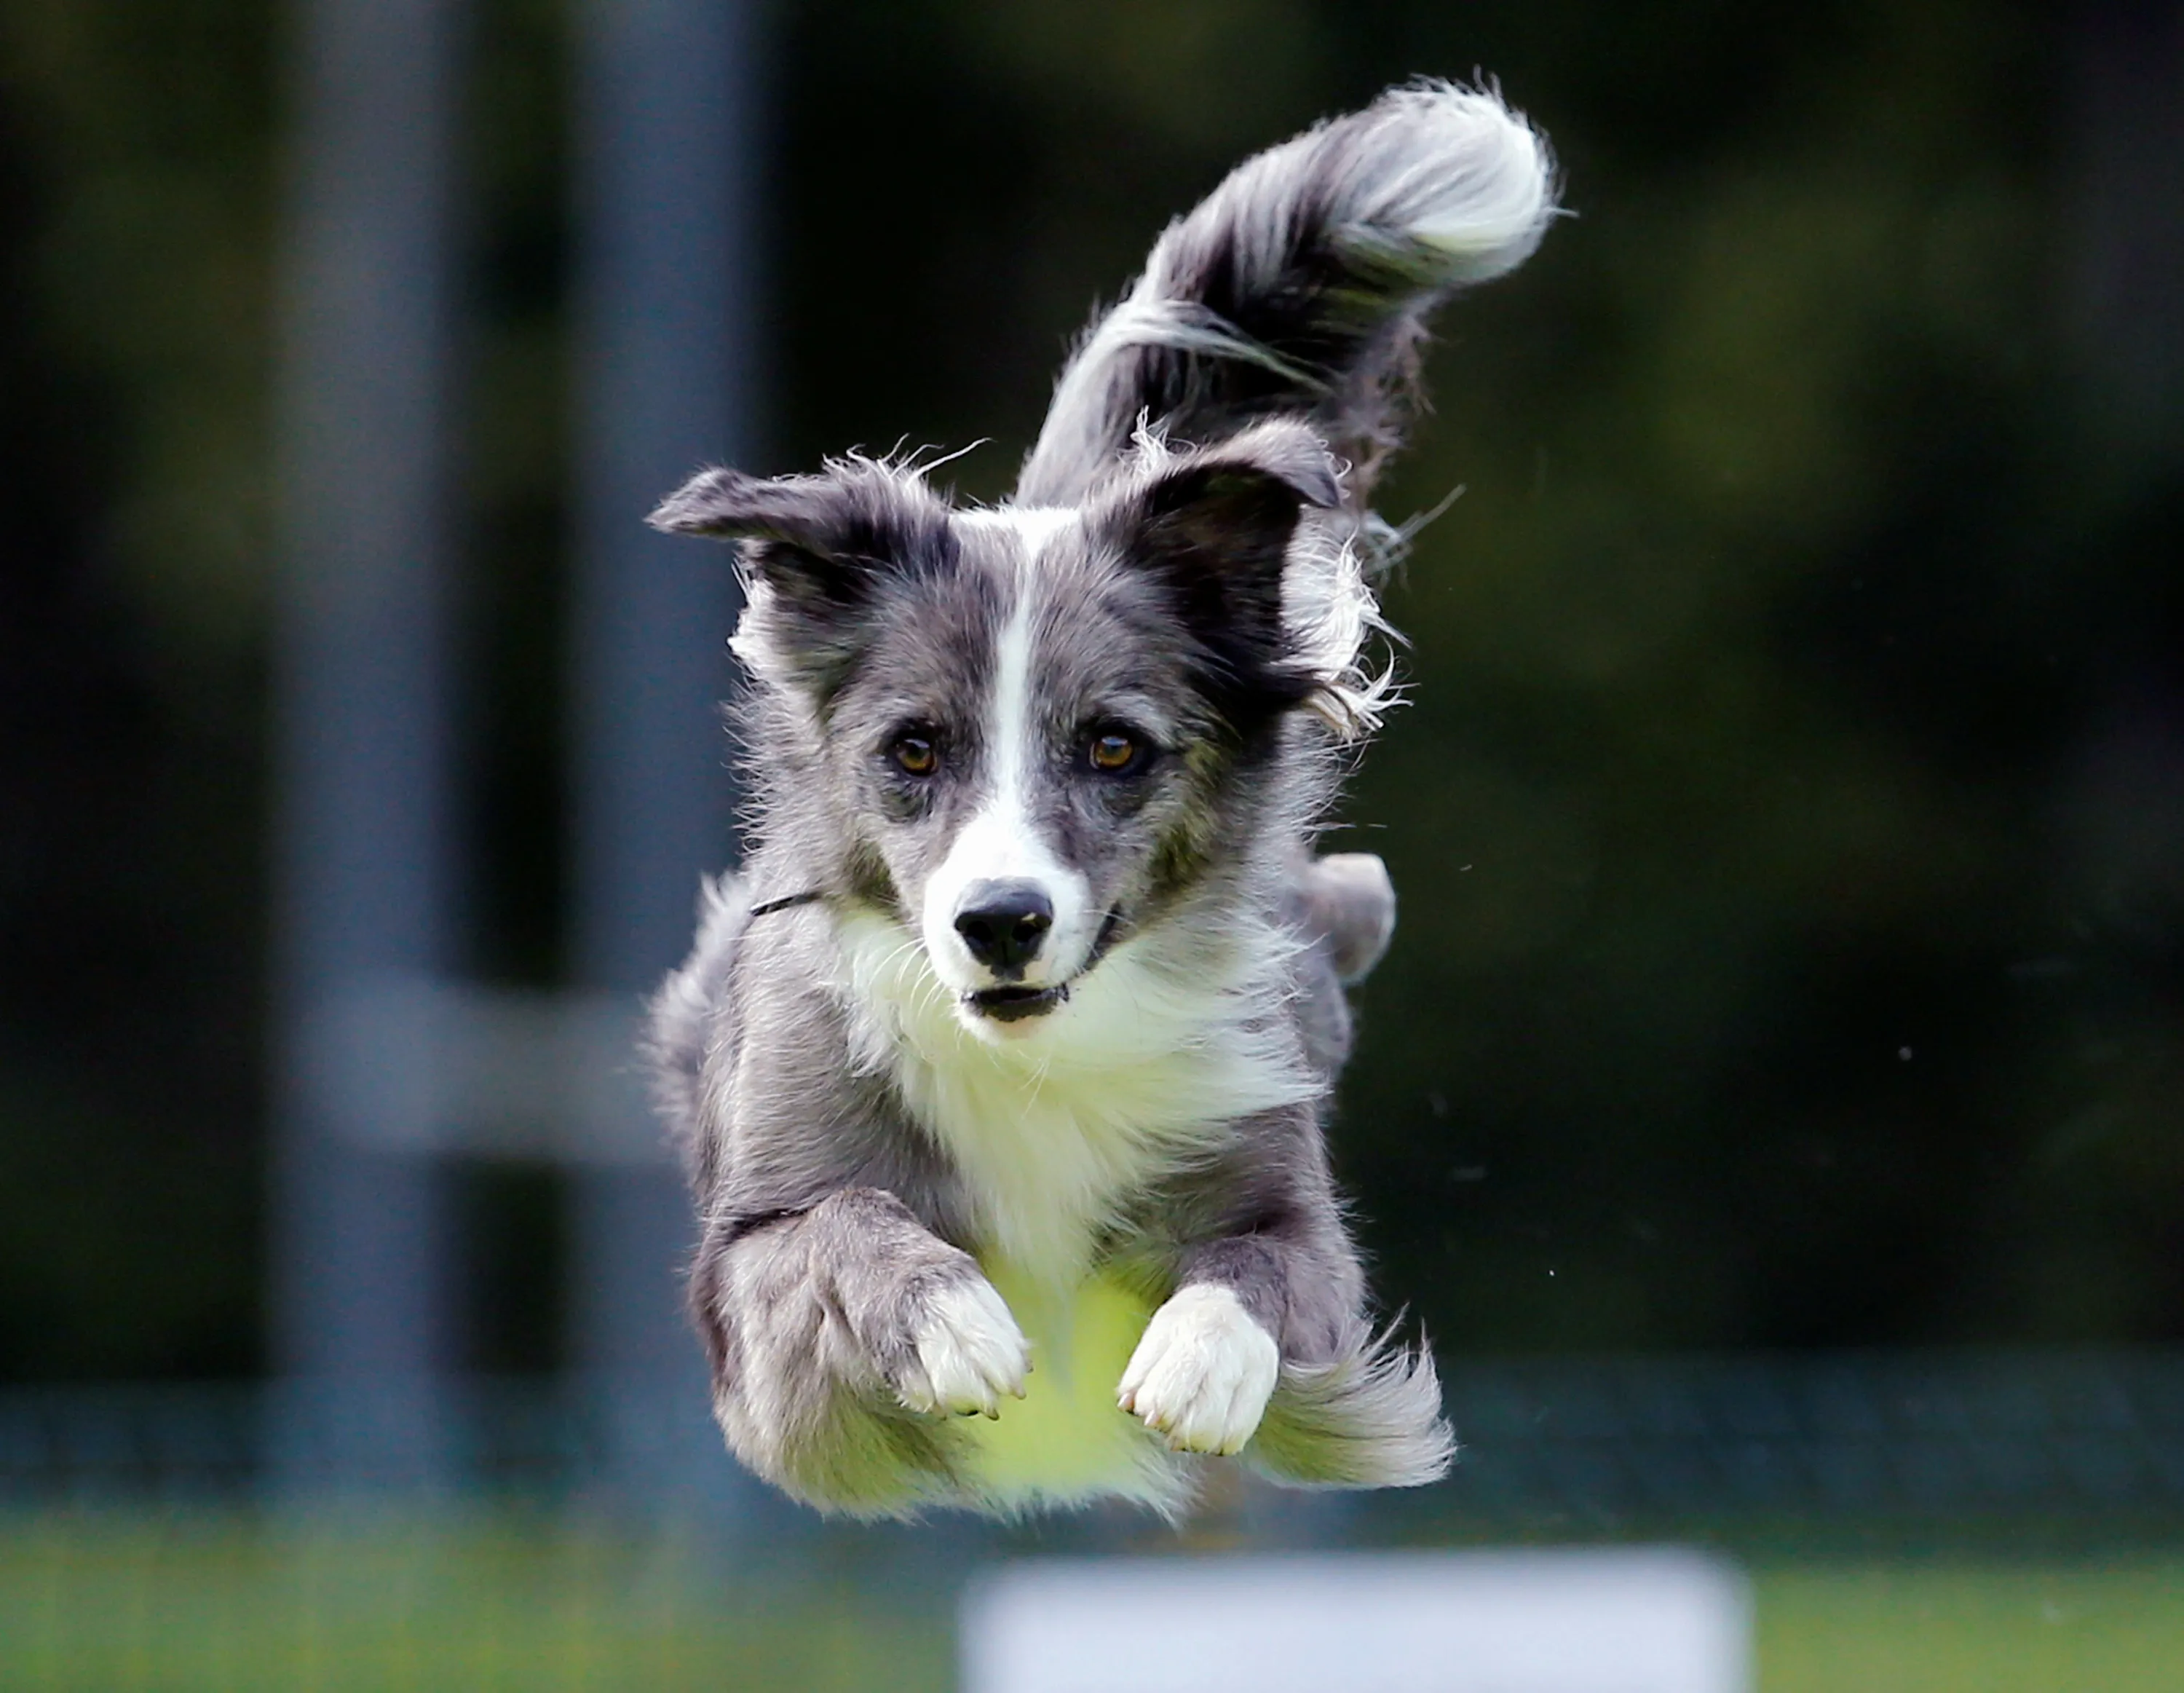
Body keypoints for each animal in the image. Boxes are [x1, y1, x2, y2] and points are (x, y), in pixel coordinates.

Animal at [642, 79, 1555, 1520]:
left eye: (1117, 749)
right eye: (914, 751)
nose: (1001, 923)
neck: (1036, 1059)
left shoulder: (1287, 1188)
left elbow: (1269, 1262)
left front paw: (1200, 1363)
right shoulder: (759, 1275)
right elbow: (841, 1226)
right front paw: (953, 1321)